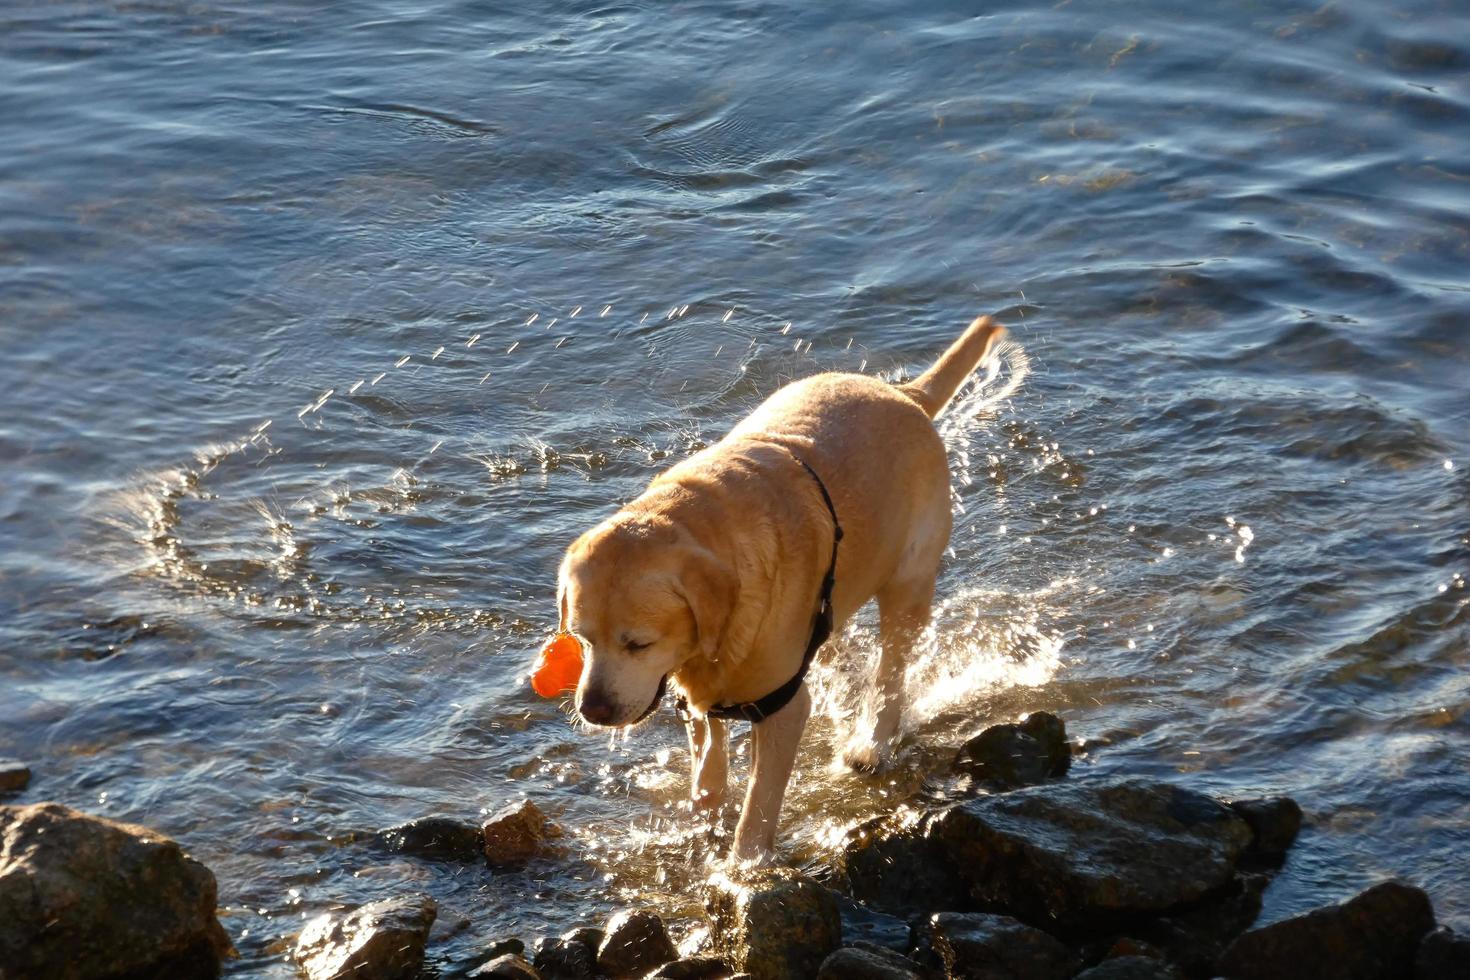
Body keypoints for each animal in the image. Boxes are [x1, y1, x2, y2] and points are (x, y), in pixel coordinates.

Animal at [555, 314, 1005, 858]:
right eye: (581, 639)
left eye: (638, 644)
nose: (592, 710)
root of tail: (905, 393)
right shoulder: (694, 684)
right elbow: (709, 762)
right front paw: (704, 814)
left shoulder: (783, 706)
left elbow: (759, 806)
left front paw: (742, 866)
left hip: (910, 576)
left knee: (893, 668)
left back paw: (872, 743)